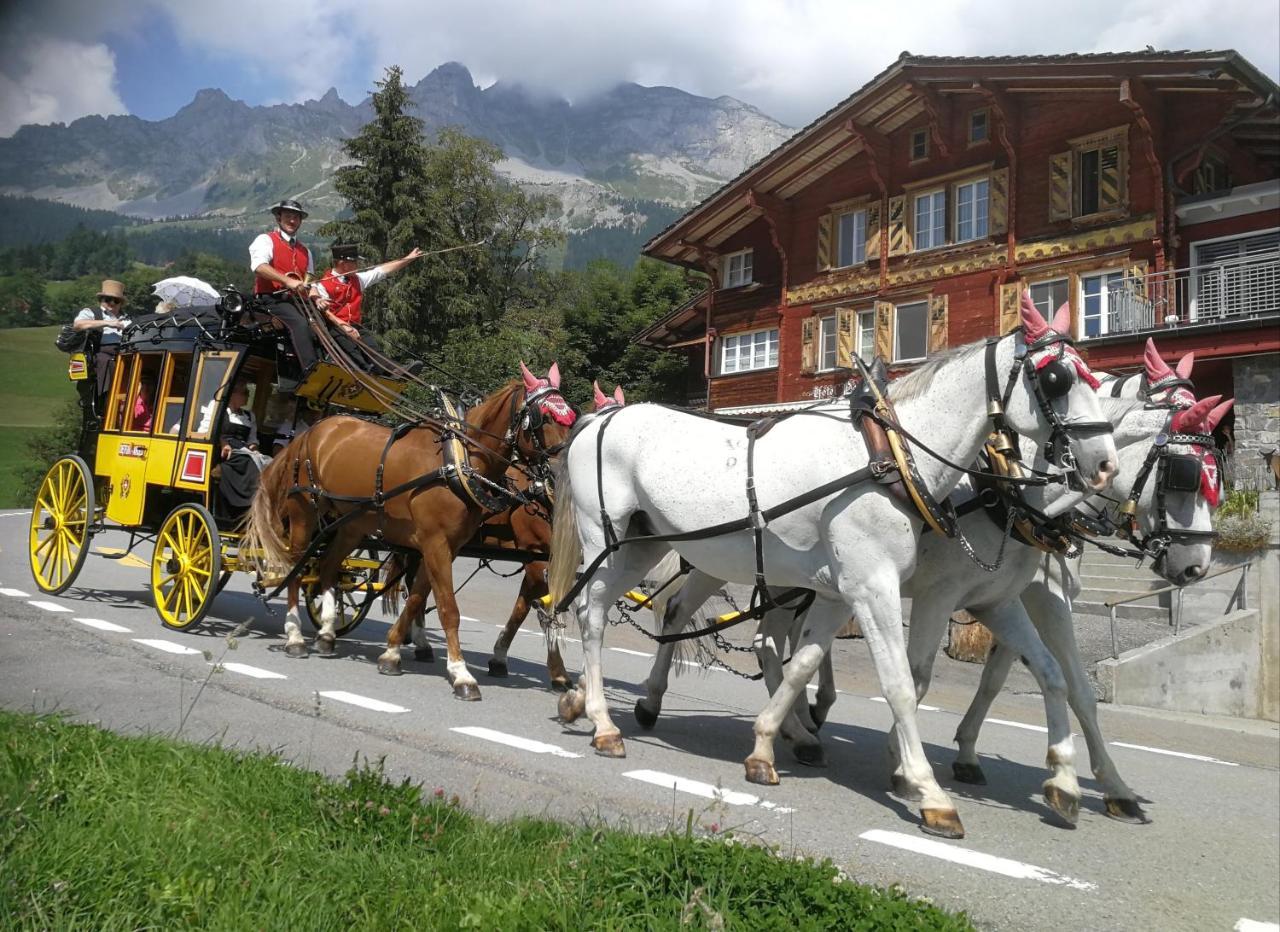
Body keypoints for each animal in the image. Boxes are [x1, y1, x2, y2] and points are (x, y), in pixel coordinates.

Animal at [241, 363, 573, 696]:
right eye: (544, 418)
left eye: (571, 419)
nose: (564, 476)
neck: (459, 460)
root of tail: (313, 431)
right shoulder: (445, 545)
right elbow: (450, 608)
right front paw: (462, 673)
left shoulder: (444, 547)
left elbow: (416, 598)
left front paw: (391, 653)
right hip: (304, 513)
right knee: (295, 569)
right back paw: (295, 635)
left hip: (352, 524)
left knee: (328, 567)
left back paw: (326, 633)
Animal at [550, 297, 1121, 839]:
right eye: (1057, 377)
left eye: (1094, 377)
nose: (1105, 466)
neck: (889, 455)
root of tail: (600, 419)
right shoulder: (879, 588)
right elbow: (901, 683)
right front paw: (927, 789)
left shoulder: (842, 591)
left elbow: (803, 662)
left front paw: (768, 744)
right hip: (607, 540)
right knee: (592, 614)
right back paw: (603, 722)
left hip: (646, 547)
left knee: (625, 611)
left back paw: (596, 701)